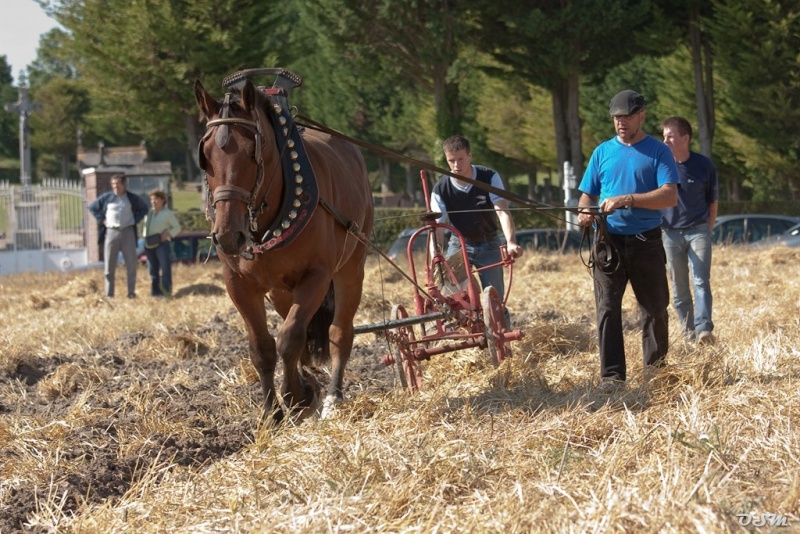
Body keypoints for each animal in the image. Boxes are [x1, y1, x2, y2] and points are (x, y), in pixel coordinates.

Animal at [197, 76, 376, 428]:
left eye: (252, 153)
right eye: (206, 157)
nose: (228, 235)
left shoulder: (316, 277)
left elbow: (290, 337)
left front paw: (296, 395)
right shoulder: (238, 283)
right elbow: (263, 347)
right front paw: (272, 410)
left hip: (351, 267)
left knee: (339, 332)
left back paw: (332, 397)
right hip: (281, 291)